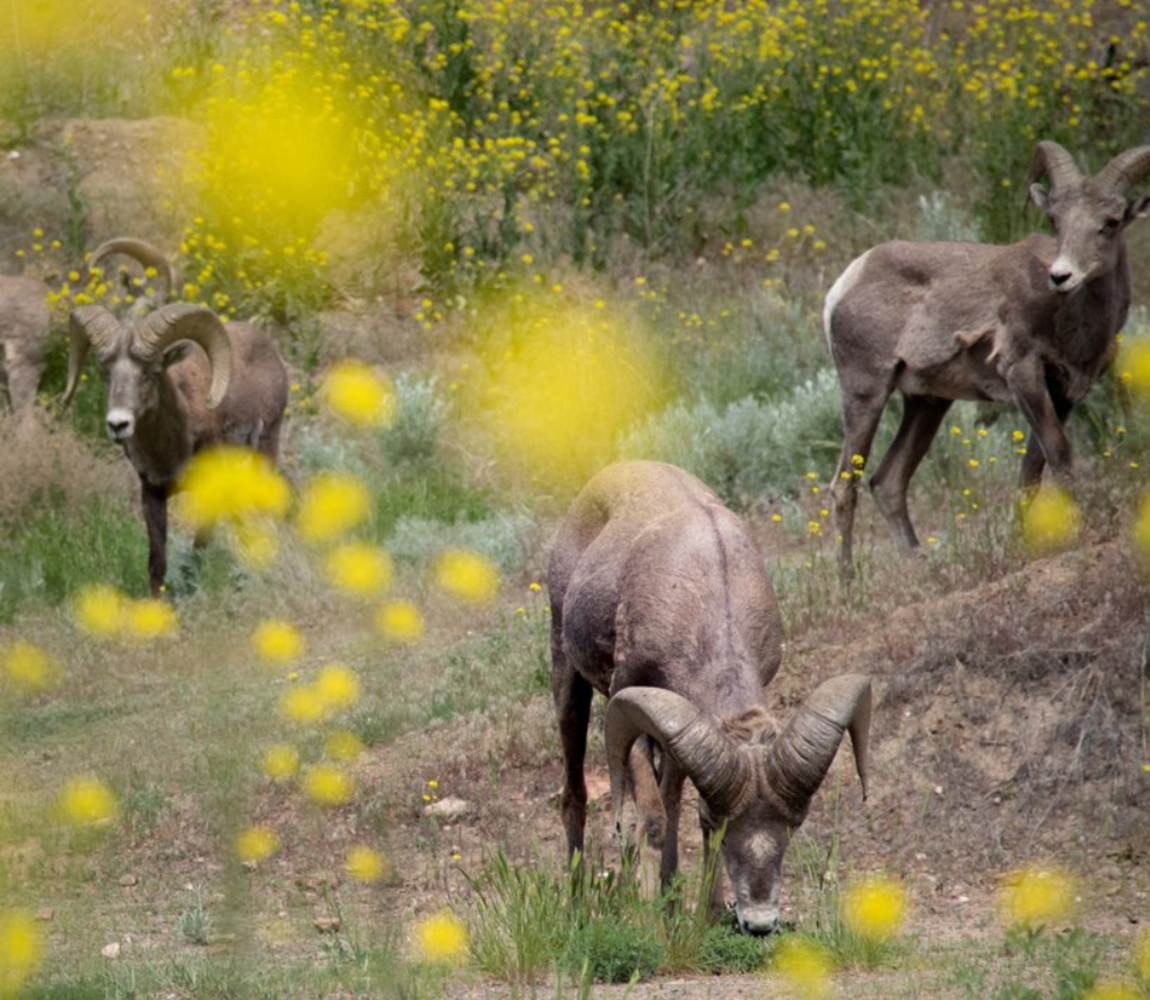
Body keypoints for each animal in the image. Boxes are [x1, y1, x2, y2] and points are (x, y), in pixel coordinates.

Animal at [64, 301, 287, 593]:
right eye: (105, 374)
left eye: (153, 373)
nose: (118, 424)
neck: (170, 450)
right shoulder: (152, 494)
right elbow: (157, 564)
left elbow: (197, 553)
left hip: (266, 447)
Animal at [549, 466, 869, 937]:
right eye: (723, 821)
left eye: (793, 824)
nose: (760, 922)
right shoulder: (628, 704)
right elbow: (652, 818)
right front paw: (651, 920)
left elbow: (677, 811)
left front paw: (708, 913)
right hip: (568, 682)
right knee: (575, 795)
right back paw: (575, 908)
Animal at [828, 140, 1150, 579]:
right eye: (1056, 220)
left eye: (1111, 222)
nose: (1061, 276)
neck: (1071, 318)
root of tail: (848, 280)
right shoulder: (1023, 375)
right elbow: (1059, 456)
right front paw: (1084, 532)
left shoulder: (1063, 394)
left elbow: (1031, 471)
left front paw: (1019, 547)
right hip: (866, 394)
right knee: (846, 484)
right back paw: (846, 582)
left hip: (927, 403)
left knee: (888, 482)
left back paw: (924, 569)